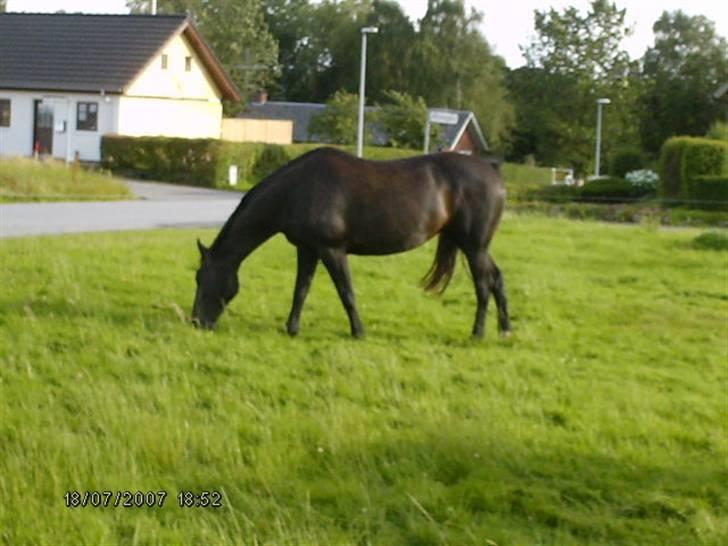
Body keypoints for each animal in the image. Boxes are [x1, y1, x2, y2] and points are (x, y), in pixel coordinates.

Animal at [193, 147, 512, 338]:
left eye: (201, 277)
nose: (196, 322)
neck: (297, 189)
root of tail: (493, 171)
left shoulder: (332, 250)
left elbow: (346, 292)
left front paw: (358, 331)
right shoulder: (307, 249)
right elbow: (301, 290)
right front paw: (292, 328)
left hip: (474, 246)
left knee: (483, 284)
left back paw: (478, 332)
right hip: (476, 246)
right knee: (497, 278)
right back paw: (505, 329)